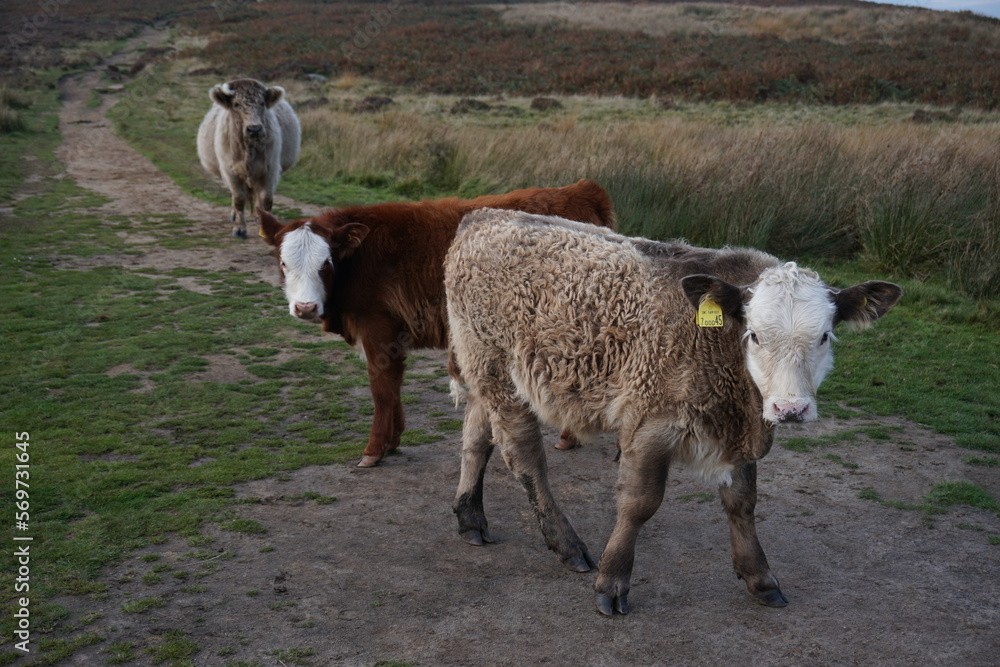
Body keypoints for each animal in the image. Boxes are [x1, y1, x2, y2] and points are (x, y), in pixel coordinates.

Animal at [197, 78, 301, 239]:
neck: (248, 151)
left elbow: (266, 199)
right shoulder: (230, 171)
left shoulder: (270, 170)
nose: (254, 129)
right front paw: (239, 228)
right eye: (236, 104)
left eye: (262, 103)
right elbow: (239, 199)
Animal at [257, 180, 617, 468]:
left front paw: (373, 450)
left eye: (326, 263)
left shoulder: (378, 330)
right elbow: (393, 386)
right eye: (283, 262)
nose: (305, 307)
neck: (359, 259)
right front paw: (392, 441)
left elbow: (381, 389)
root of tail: (581, 189)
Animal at [444, 209, 901, 616]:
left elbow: (743, 501)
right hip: (499, 372)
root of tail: (484, 216)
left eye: (824, 336)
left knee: (475, 436)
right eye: (754, 335)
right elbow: (639, 504)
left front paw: (760, 577)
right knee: (524, 457)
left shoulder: (737, 428)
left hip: (483, 370)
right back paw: (566, 543)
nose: (790, 408)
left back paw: (470, 517)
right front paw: (612, 582)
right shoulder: (650, 422)